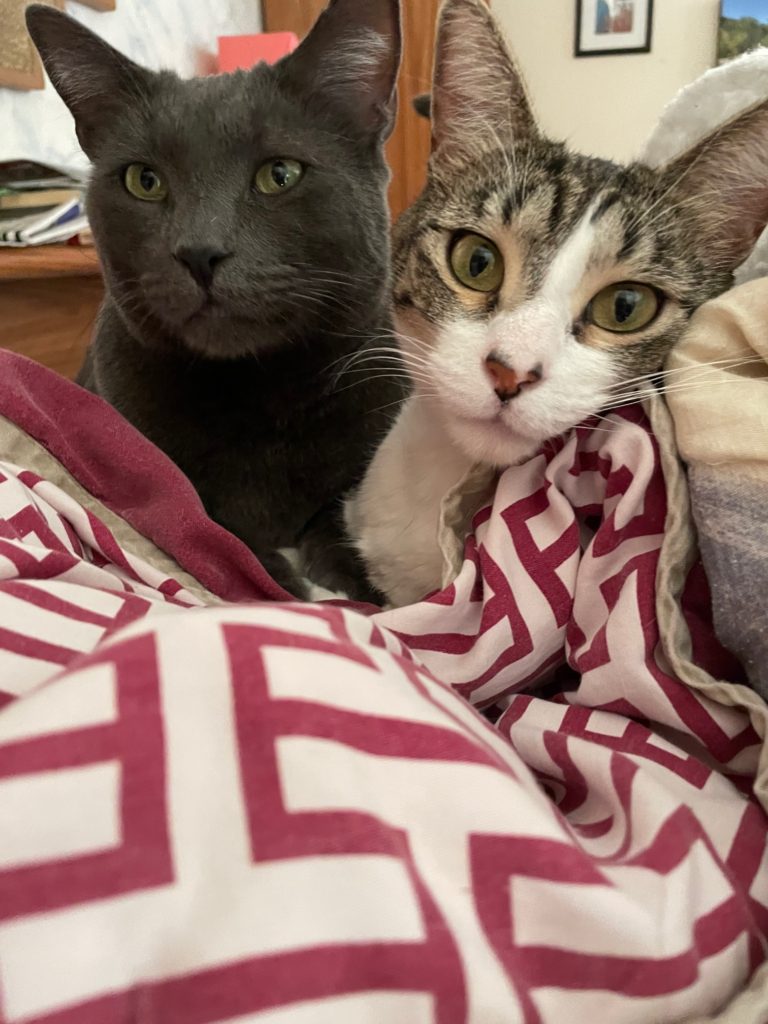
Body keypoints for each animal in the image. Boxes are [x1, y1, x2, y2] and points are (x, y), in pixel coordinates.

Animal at [27, 0, 405, 598]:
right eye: (144, 180)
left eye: (279, 174)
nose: (199, 251)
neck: (260, 394)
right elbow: (209, 526)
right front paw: (279, 583)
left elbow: (344, 519)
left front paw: (367, 587)